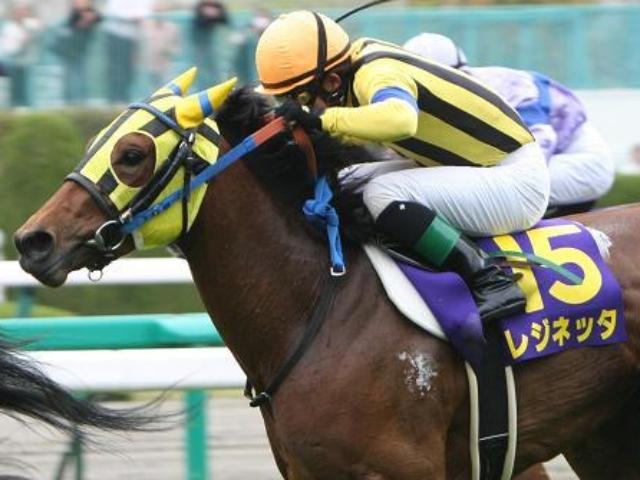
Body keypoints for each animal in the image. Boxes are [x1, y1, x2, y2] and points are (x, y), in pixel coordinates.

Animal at [13, 73, 640, 479]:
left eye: (133, 155)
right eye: (93, 142)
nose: (33, 241)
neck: (321, 307)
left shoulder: (410, 468)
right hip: (603, 440)